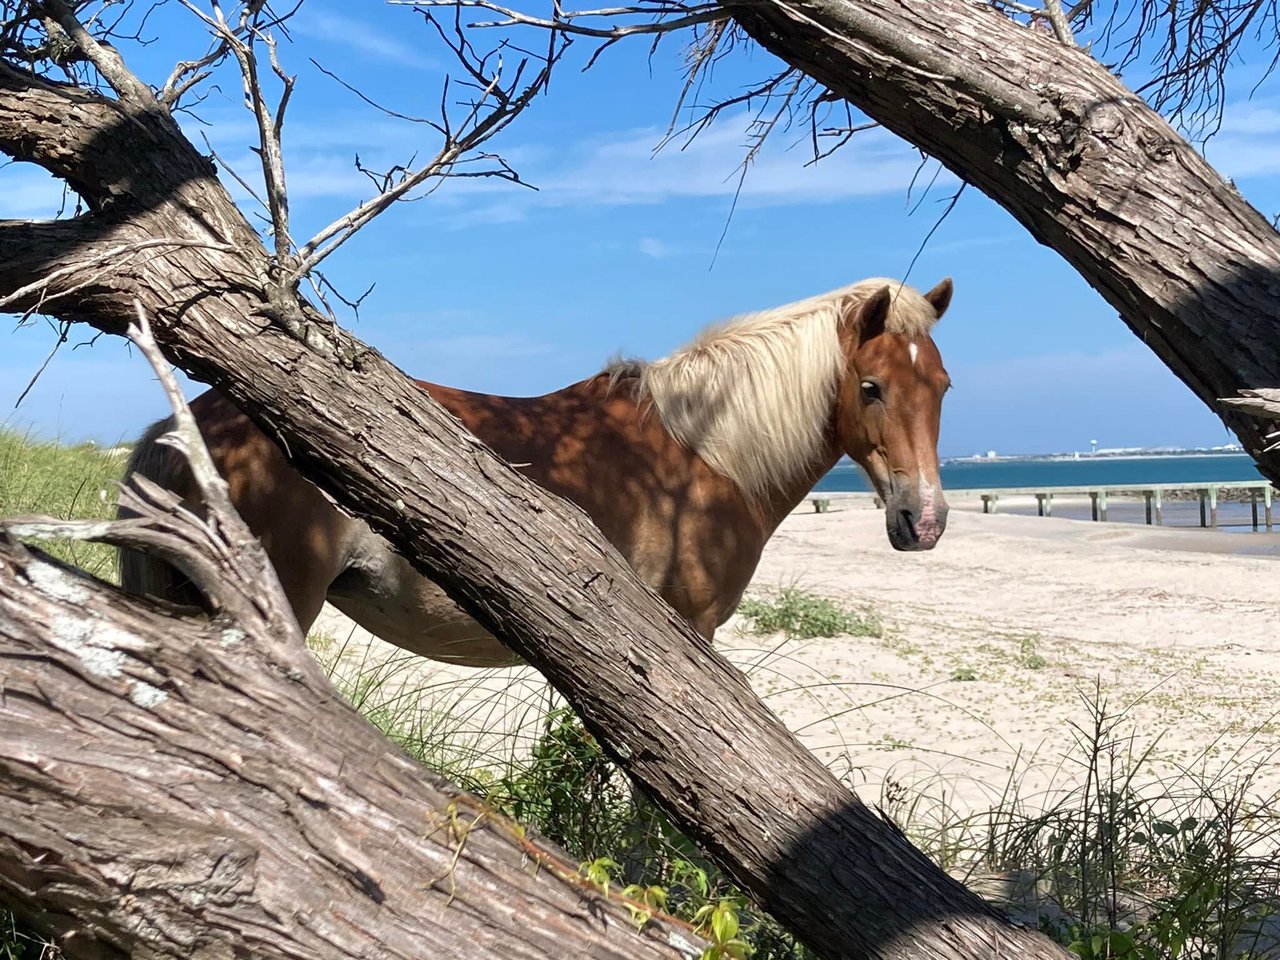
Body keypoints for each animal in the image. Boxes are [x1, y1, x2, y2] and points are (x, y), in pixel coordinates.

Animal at [120, 276, 957, 670]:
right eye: (872, 388)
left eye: (943, 386)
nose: (924, 522)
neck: (708, 453)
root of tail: (188, 426)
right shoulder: (691, 635)